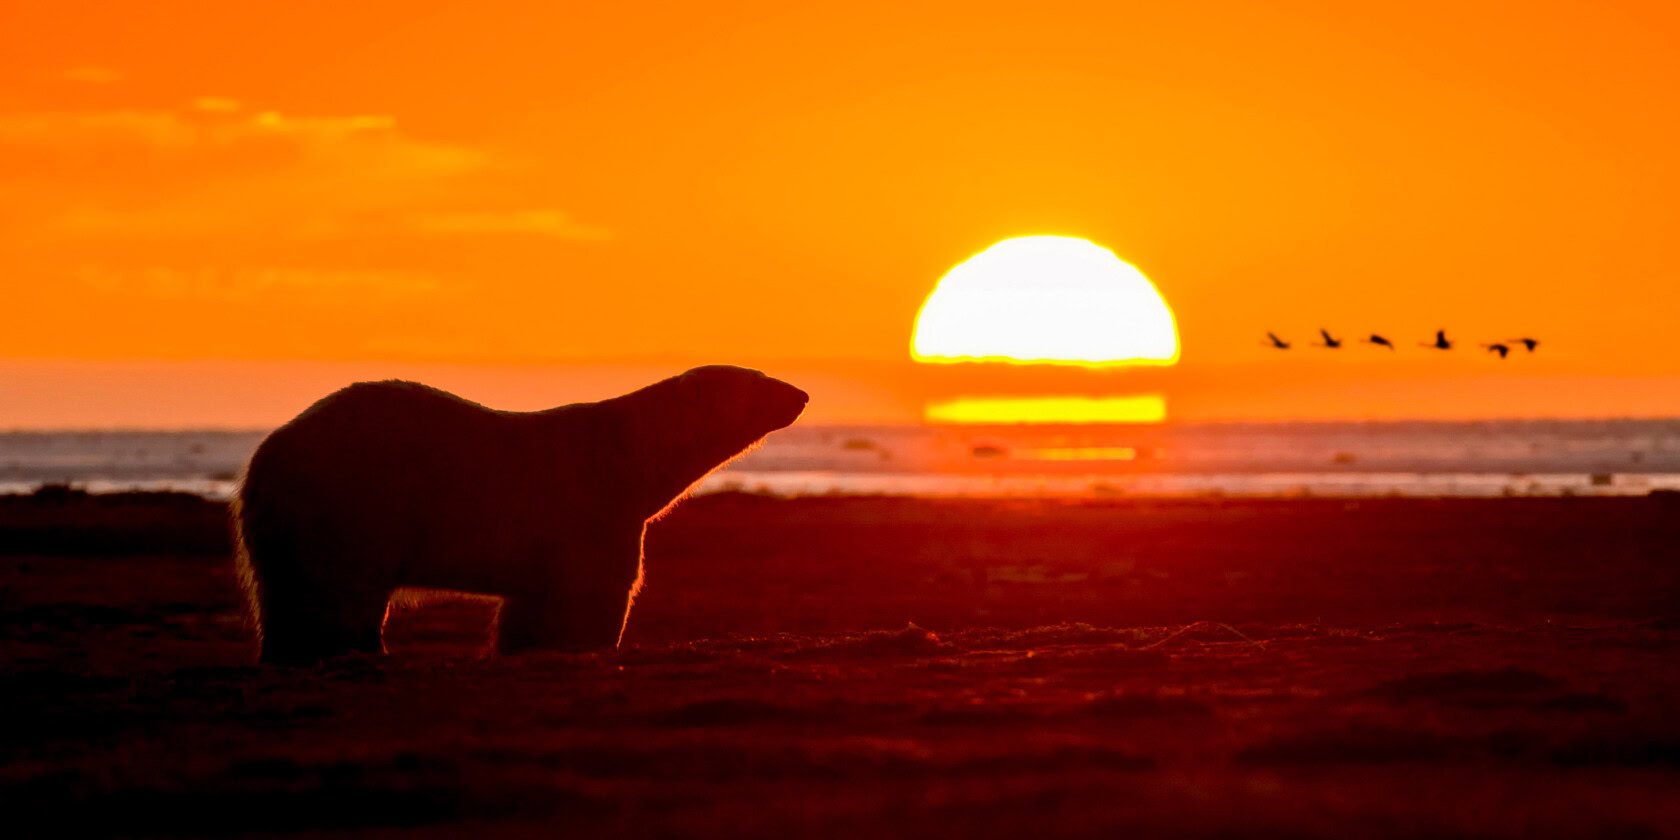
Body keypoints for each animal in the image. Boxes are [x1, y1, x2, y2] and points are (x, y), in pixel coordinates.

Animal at [233, 365, 807, 665]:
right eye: (757, 380)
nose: (801, 393)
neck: (630, 456)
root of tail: (264, 458)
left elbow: (529, 606)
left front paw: (520, 644)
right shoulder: (591, 508)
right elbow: (594, 593)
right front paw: (584, 643)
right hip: (351, 503)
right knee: (339, 591)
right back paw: (355, 648)